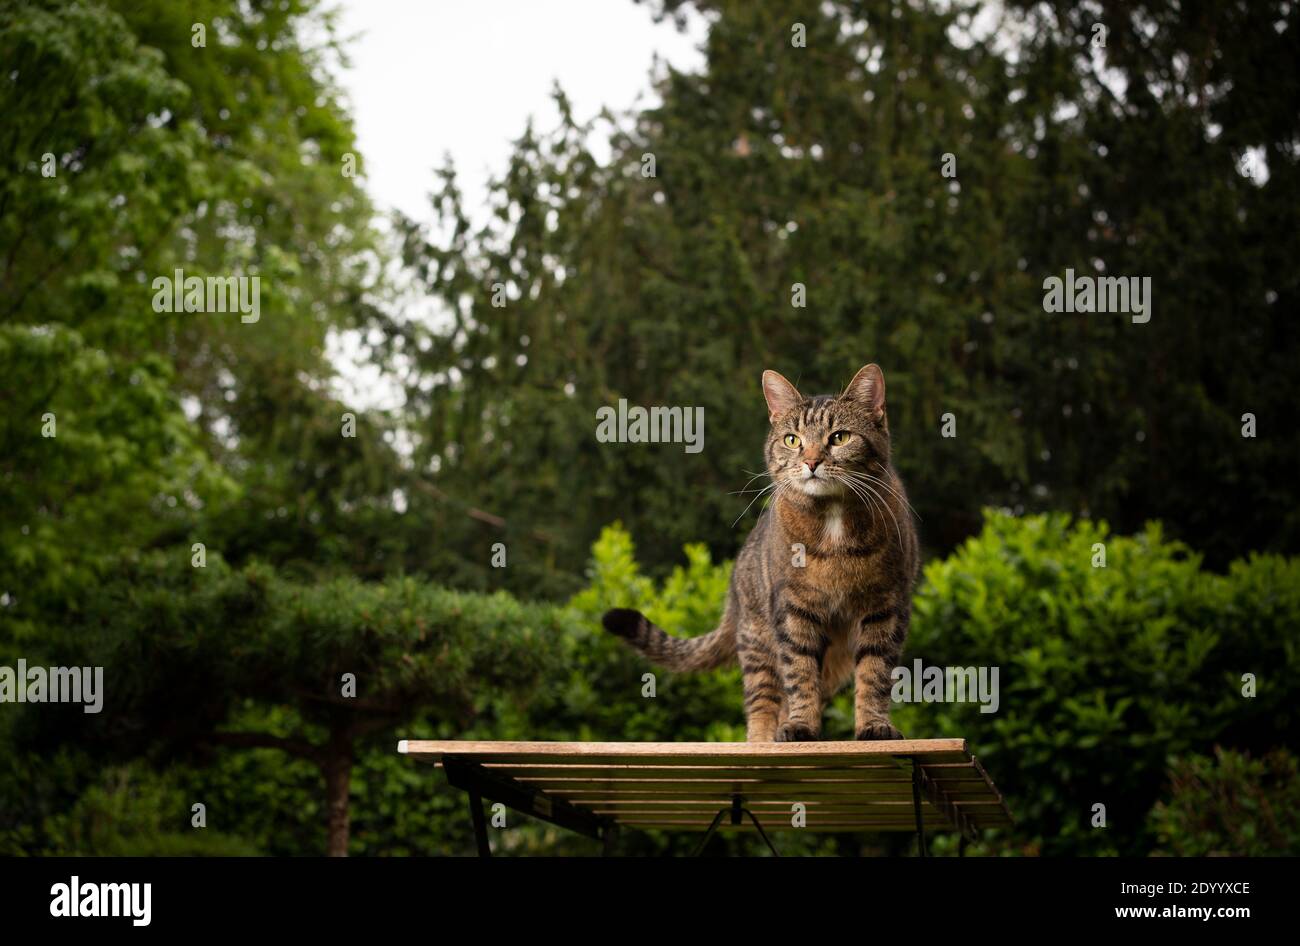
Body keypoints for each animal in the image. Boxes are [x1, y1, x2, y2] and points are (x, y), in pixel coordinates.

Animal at [603, 361, 920, 738]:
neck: (833, 524)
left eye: (840, 437)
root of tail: (734, 593)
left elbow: (875, 673)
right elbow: (799, 673)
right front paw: (800, 726)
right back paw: (766, 738)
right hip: (758, 642)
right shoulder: (793, 609)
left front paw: (874, 725)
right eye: (792, 440)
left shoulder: (885, 607)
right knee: (764, 703)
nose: (811, 462)